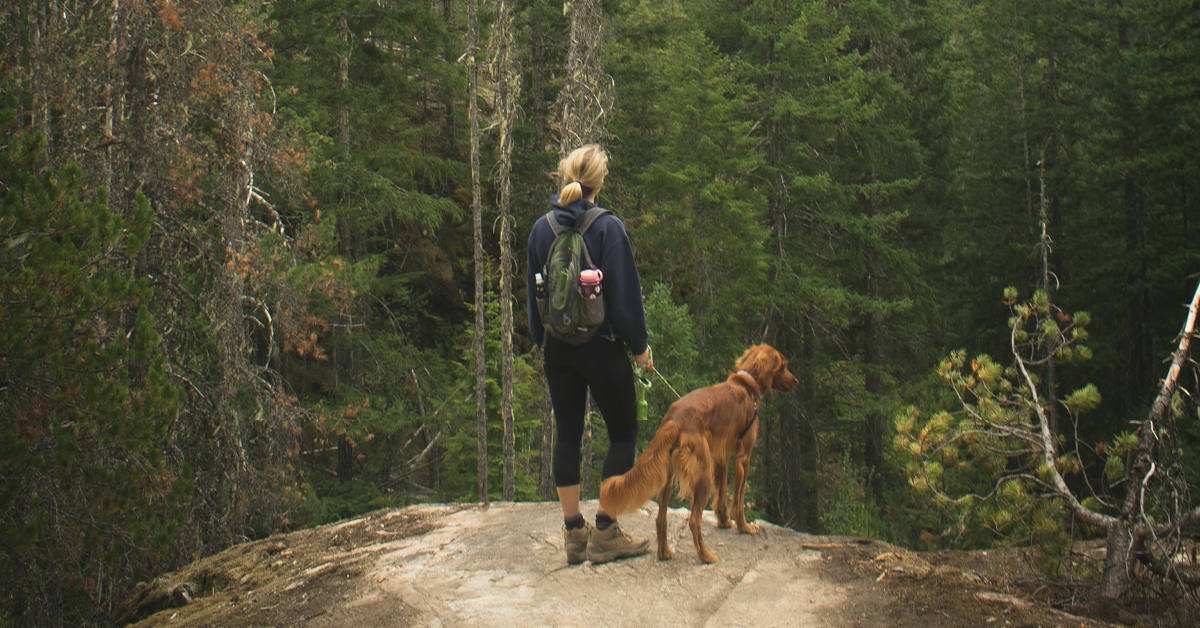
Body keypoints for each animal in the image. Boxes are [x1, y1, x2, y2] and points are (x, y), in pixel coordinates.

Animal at [597, 343, 796, 564]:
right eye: (784, 366)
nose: (796, 382)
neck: (747, 385)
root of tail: (676, 418)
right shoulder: (743, 456)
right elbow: (739, 498)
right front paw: (744, 527)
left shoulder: (720, 457)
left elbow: (722, 494)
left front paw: (724, 521)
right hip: (702, 473)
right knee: (693, 520)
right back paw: (705, 555)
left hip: (669, 475)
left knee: (660, 519)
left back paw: (664, 553)